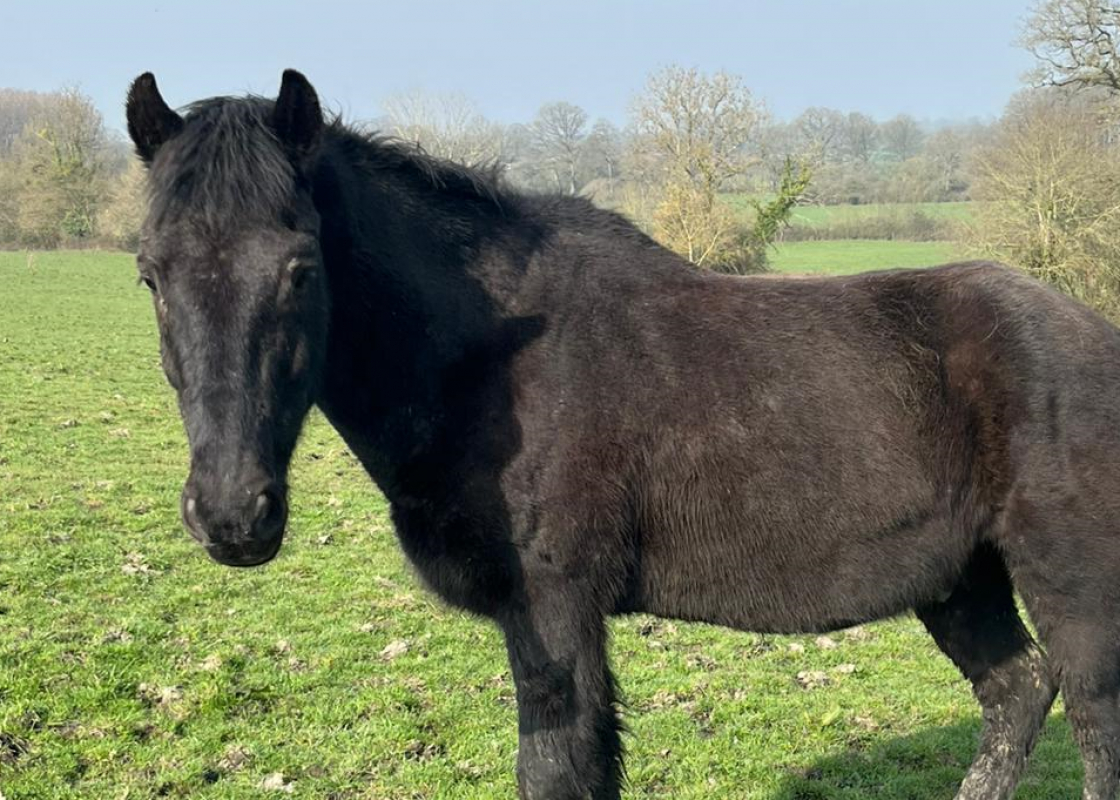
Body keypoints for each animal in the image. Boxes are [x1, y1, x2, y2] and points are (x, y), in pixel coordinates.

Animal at [124, 70, 1120, 800]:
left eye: (299, 268)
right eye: (149, 273)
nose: (232, 514)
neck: (491, 358)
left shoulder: (556, 614)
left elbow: (558, 770)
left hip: (1069, 590)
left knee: (1089, 721)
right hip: (957, 578)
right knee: (1015, 696)